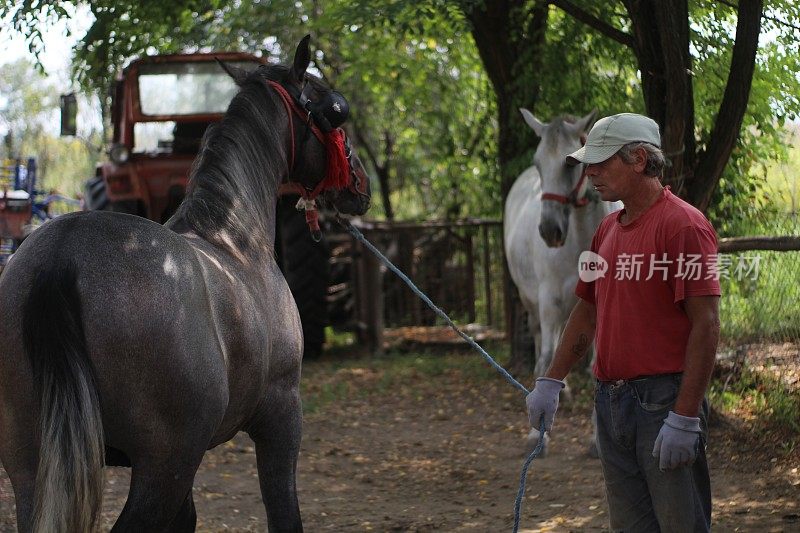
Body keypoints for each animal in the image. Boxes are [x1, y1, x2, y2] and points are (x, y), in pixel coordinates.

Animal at [0, 35, 370, 528]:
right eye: (335, 108)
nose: (360, 183)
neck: (233, 236)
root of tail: (61, 254)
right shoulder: (281, 417)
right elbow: (284, 511)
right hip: (164, 464)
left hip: (34, 467)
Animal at [504, 108, 620, 454]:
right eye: (538, 162)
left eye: (570, 163)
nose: (549, 231)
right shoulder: (549, 300)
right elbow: (545, 359)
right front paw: (536, 436)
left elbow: (597, 368)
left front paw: (597, 441)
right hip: (532, 302)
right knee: (543, 343)